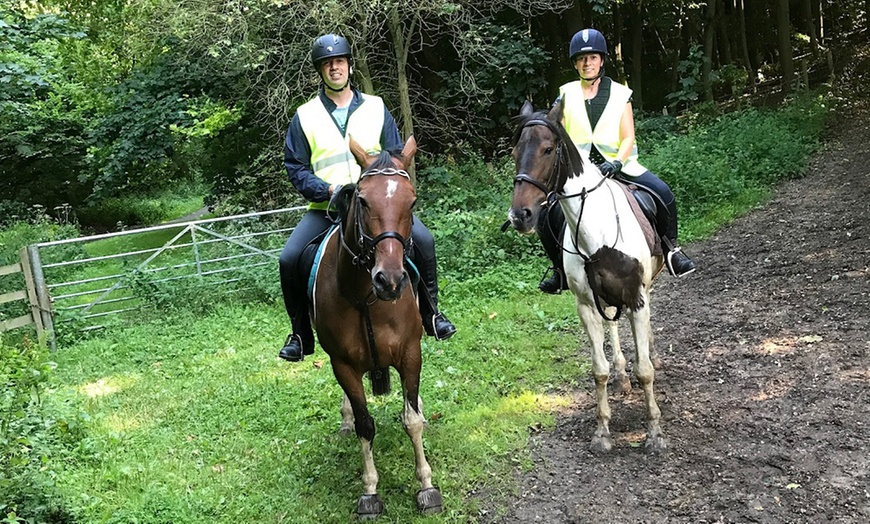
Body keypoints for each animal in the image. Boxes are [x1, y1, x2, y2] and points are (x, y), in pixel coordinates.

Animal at [312, 136, 442, 520]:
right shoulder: (342, 364)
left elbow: (411, 419)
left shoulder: (411, 353)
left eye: (411, 201)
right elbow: (365, 424)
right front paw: (370, 492)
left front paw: (427, 487)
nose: (391, 280)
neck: (364, 296)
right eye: (363, 199)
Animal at [508, 100, 672, 452]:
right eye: (515, 151)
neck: (598, 235)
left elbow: (645, 371)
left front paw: (654, 432)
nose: (520, 216)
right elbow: (599, 370)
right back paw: (622, 375)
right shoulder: (586, 305)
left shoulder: (636, 299)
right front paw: (602, 432)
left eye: (548, 149)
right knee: (613, 329)